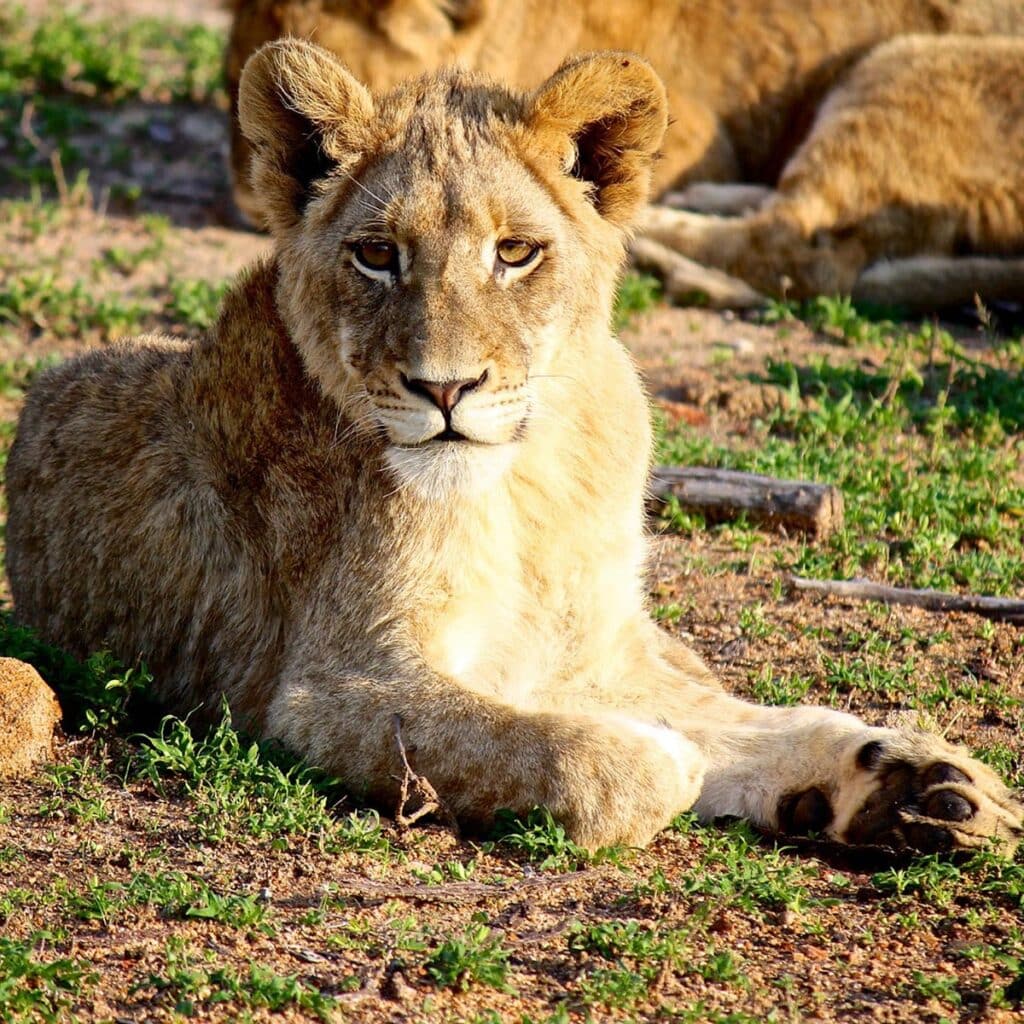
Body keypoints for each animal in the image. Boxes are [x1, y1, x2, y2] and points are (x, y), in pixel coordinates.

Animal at [9, 39, 1024, 851]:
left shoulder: (599, 649)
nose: (445, 389)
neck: (524, 489)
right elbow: (577, 753)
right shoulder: (325, 688)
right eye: (376, 255)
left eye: (515, 253)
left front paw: (928, 784)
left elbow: (746, 718)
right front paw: (668, 758)